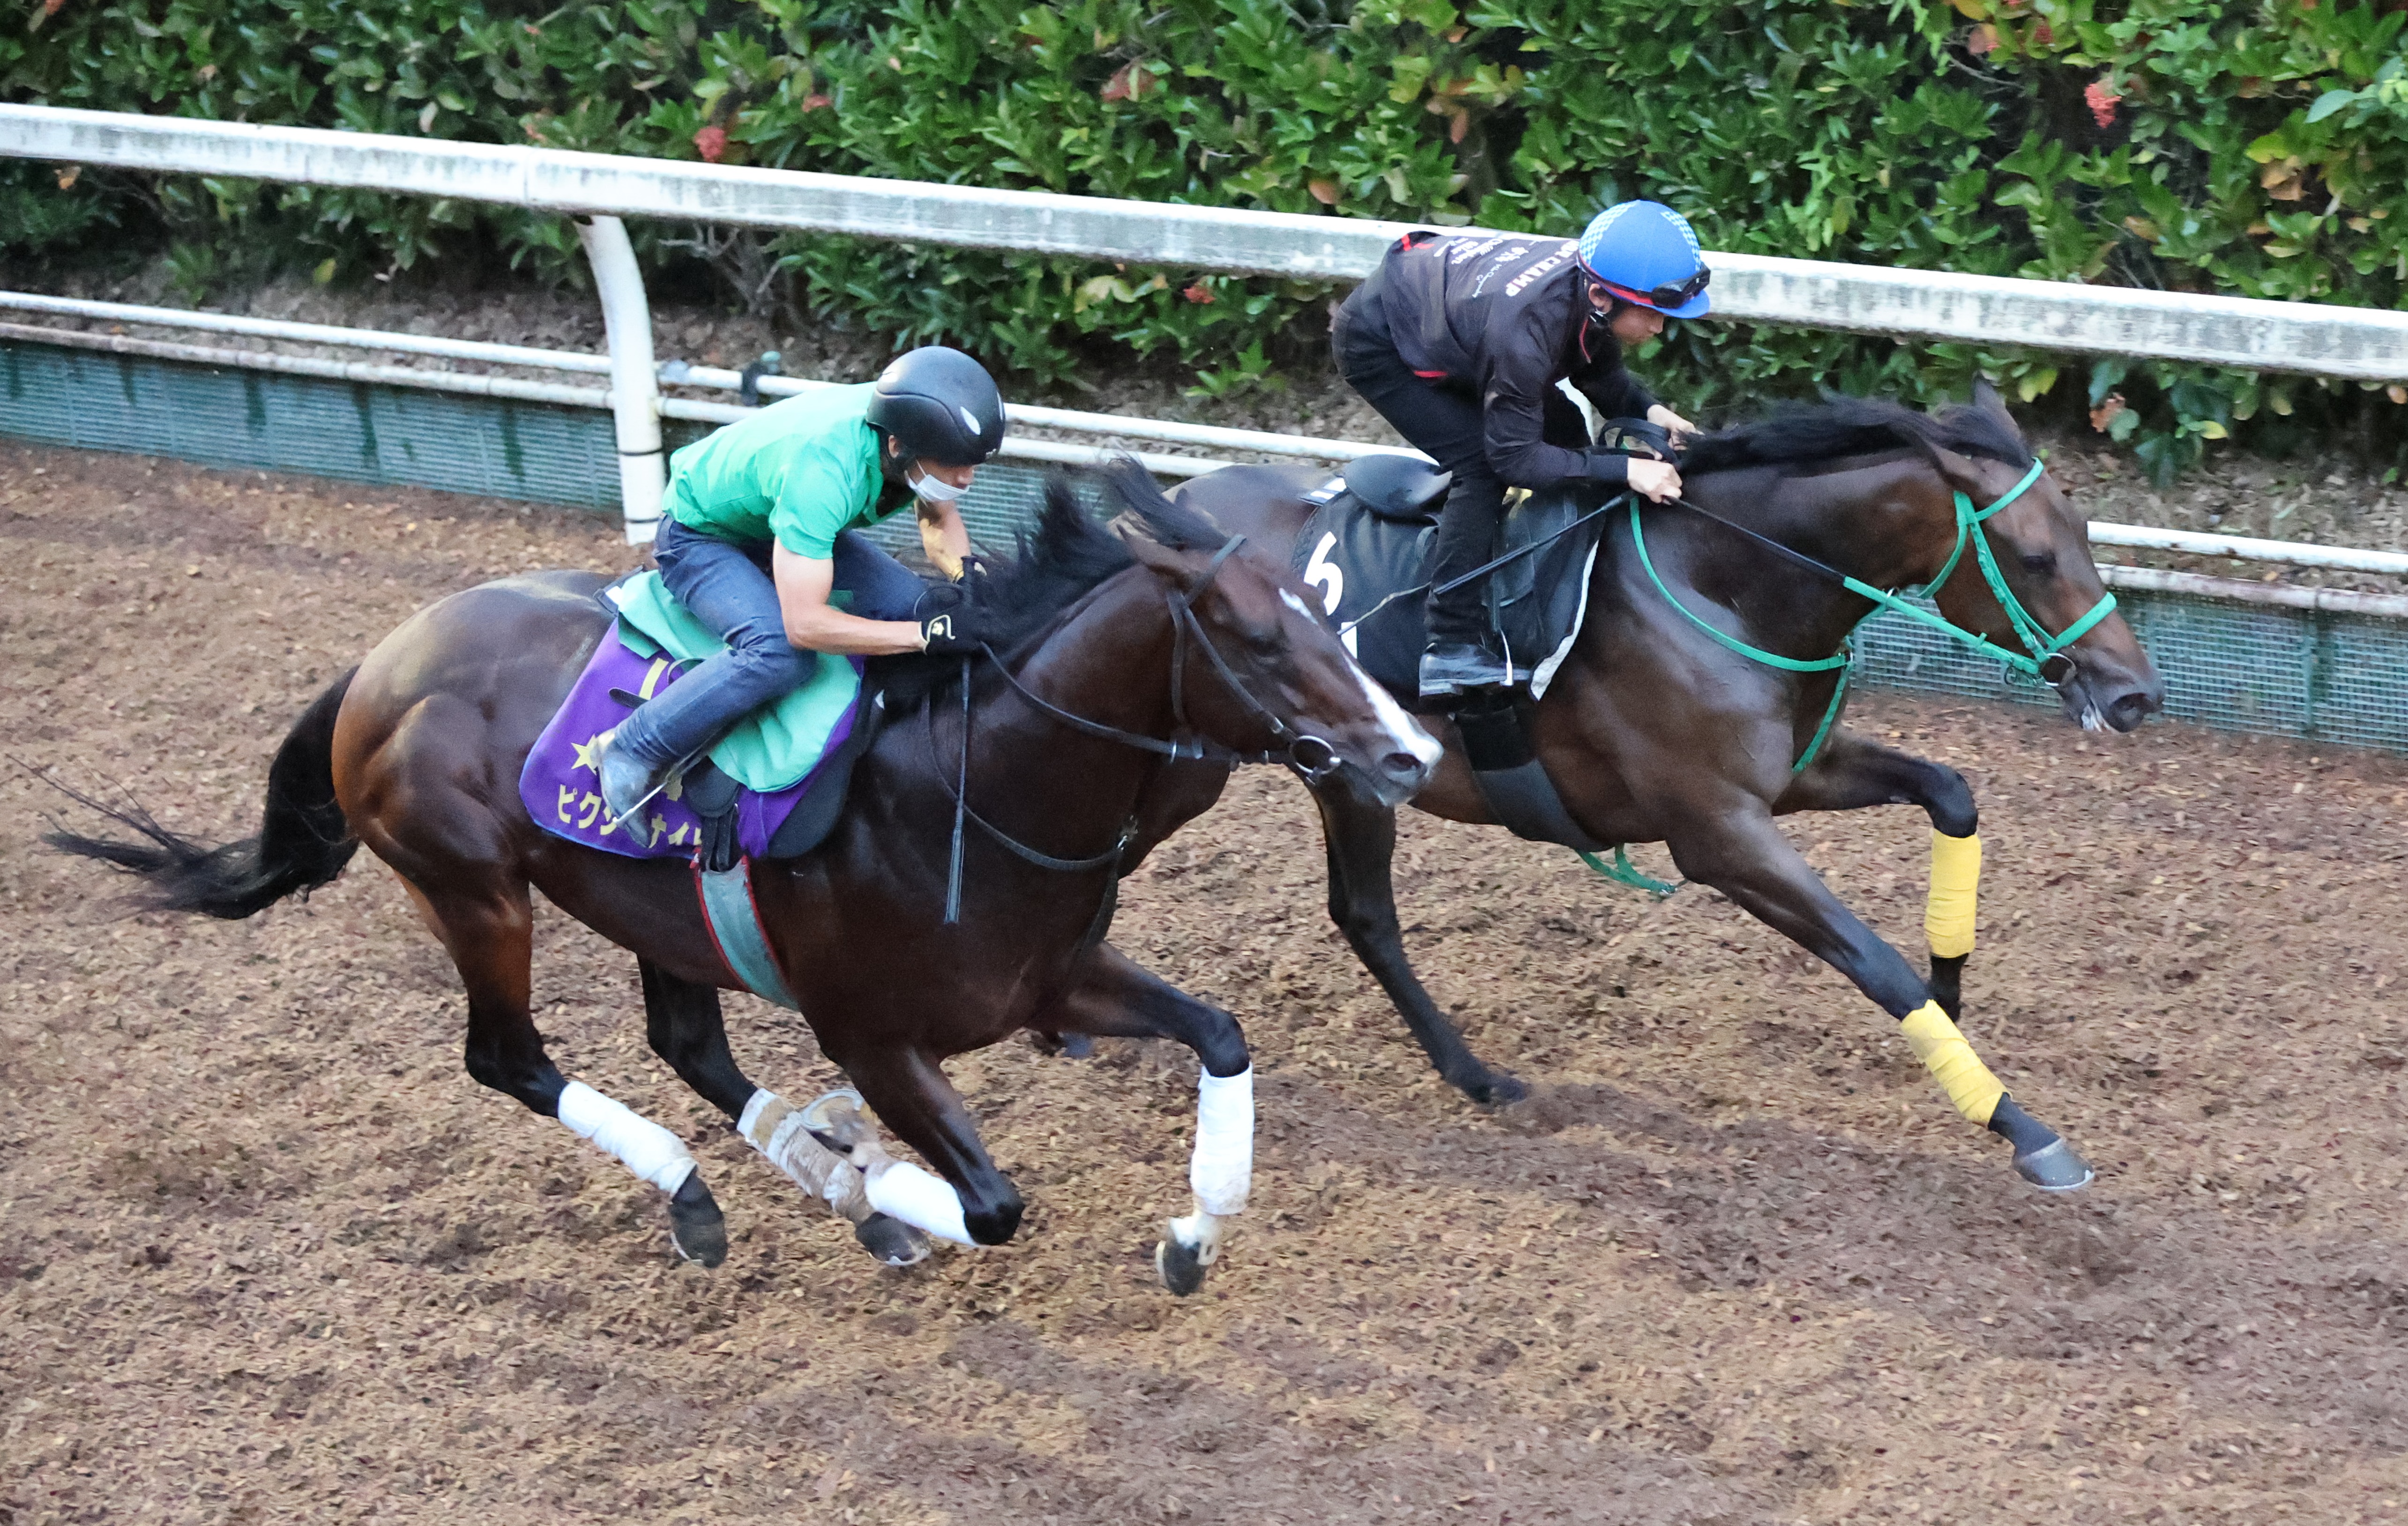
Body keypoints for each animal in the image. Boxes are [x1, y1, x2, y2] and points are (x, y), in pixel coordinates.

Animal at [47, 459, 1435, 1280]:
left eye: (1325, 617)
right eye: (1258, 639)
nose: (1407, 751)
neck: (972, 788)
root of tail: (384, 660)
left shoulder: (1051, 978)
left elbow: (1221, 1035)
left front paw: (1192, 1234)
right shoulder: (871, 1033)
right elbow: (994, 1205)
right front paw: (874, 1171)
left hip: (650, 914)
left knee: (687, 1046)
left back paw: (814, 1177)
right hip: (472, 889)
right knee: (509, 1059)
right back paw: (712, 1195)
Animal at [1146, 382, 2167, 1189]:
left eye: (2085, 532)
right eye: (2033, 556)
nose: (2134, 694)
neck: (1725, 580)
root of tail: (1177, 502)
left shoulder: (1789, 777)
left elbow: (1950, 794)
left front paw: (1948, 995)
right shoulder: (1715, 833)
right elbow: (1868, 959)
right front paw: (2021, 1127)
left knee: (1358, 914)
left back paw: (1470, 1074)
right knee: (1352, 911)